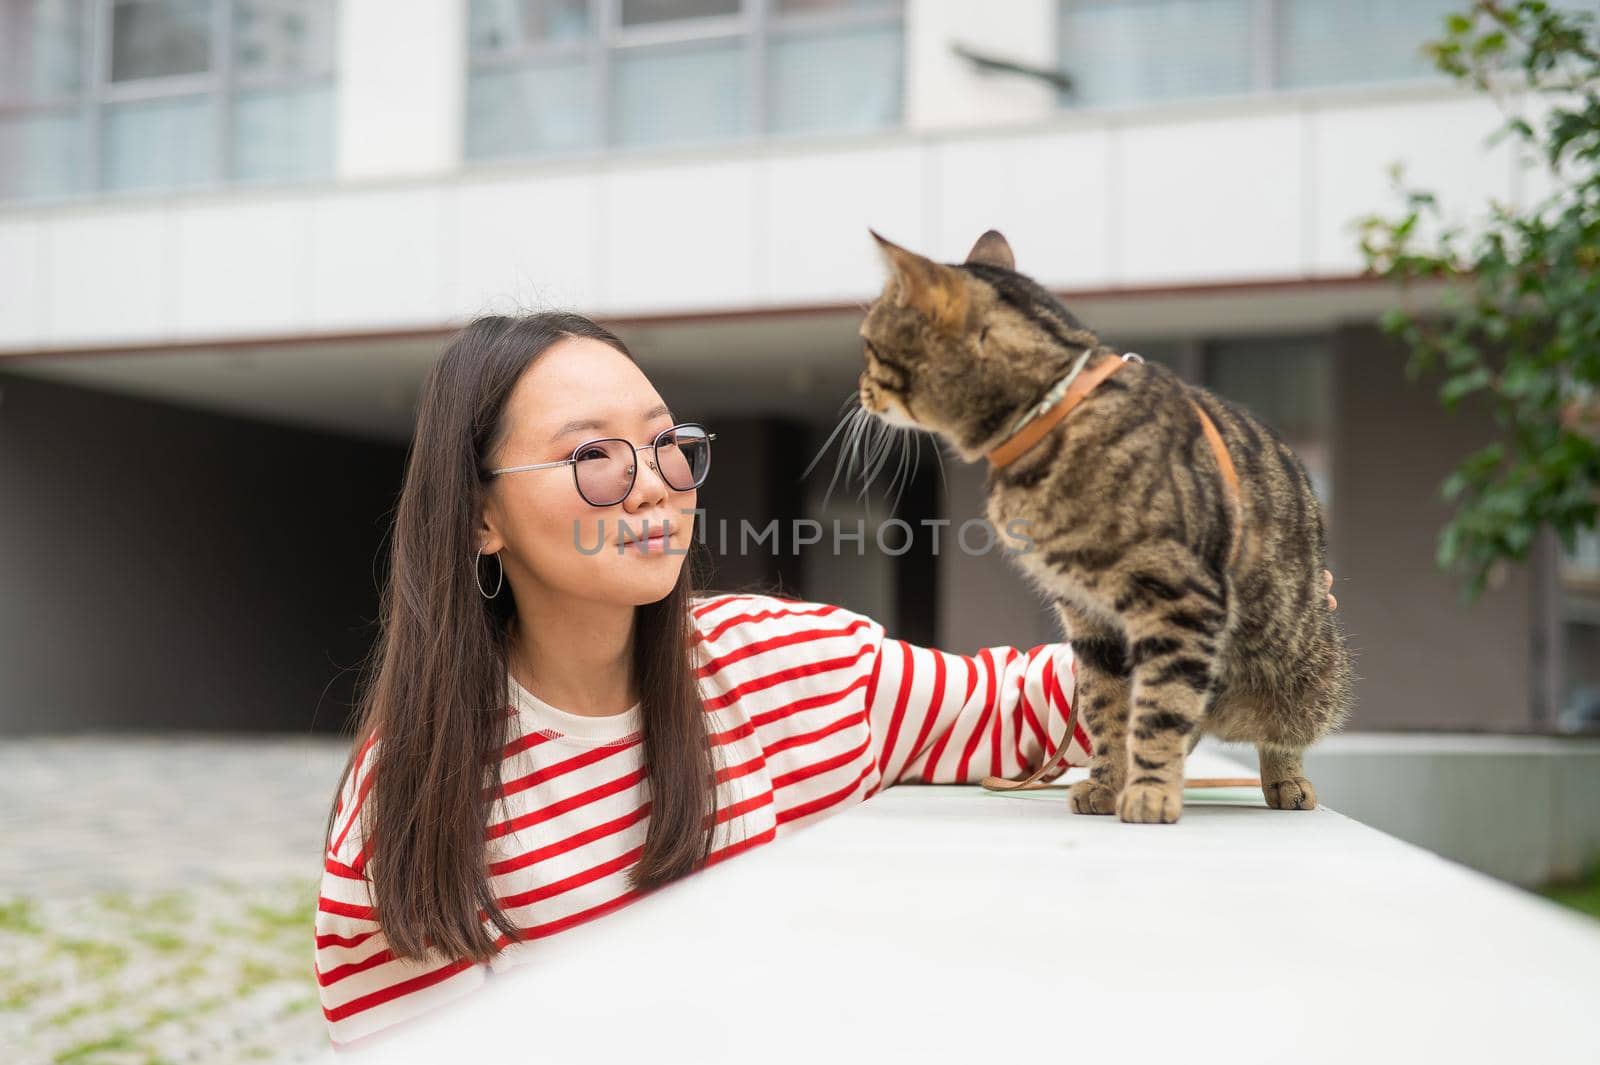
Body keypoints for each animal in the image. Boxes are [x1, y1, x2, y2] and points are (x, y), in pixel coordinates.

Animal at [864, 230, 1350, 818]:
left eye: (868, 344)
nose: (860, 387)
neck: (1051, 415)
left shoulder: (1179, 601)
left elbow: (1159, 709)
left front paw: (1149, 792)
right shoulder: (1089, 619)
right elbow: (1108, 711)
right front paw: (1110, 781)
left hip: (1306, 668)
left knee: (1281, 732)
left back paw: (1286, 779)